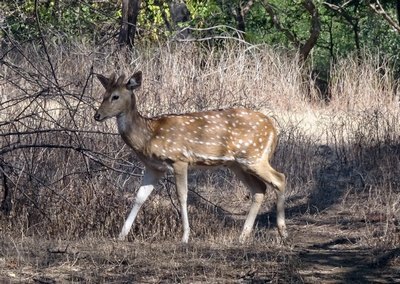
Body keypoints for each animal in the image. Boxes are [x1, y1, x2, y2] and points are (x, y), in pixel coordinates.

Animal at [94, 72, 288, 243]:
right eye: (103, 95)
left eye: (115, 96)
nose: (97, 115)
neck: (148, 136)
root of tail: (273, 128)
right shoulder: (154, 167)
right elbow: (140, 197)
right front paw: (121, 235)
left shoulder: (179, 159)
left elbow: (182, 195)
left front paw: (185, 237)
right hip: (237, 164)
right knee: (259, 188)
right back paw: (243, 236)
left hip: (254, 156)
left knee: (279, 179)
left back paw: (282, 231)